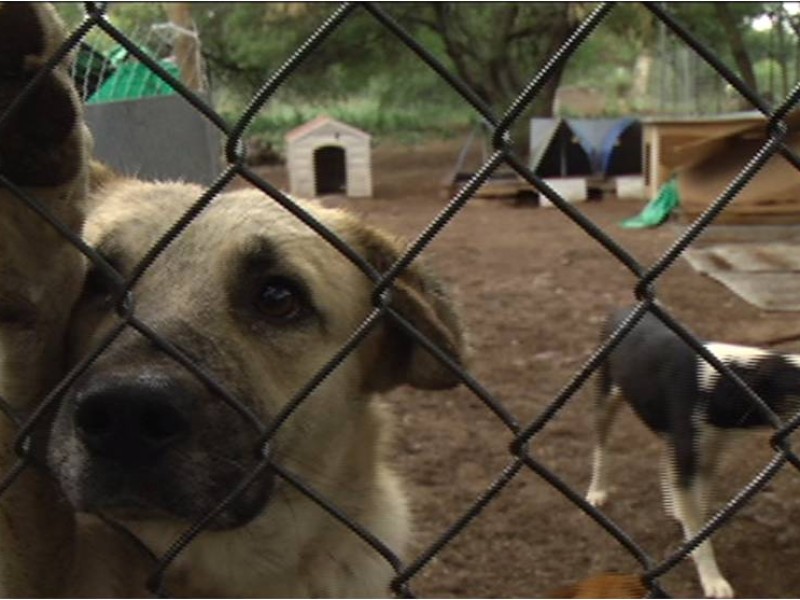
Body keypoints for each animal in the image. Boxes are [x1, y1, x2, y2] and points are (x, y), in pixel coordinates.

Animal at [580, 308, 800, 596]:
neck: (723, 385)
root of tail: (621, 310)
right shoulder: (689, 453)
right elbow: (700, 532)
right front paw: (712, 579)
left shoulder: (708, 455)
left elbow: (699, 511)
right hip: (607, 398)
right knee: (601, 449)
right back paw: (597, 491)